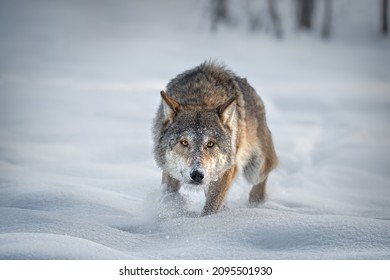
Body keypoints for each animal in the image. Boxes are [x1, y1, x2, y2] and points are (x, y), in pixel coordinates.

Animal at [152, 61, 278, 217]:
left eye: (211, 144)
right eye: (184, 142)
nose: (197, 174)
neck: (201, 98)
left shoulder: (226, 171)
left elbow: (211, 208)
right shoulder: (170, 171)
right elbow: (169, 197)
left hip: (255, 170)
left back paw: (255, 205)